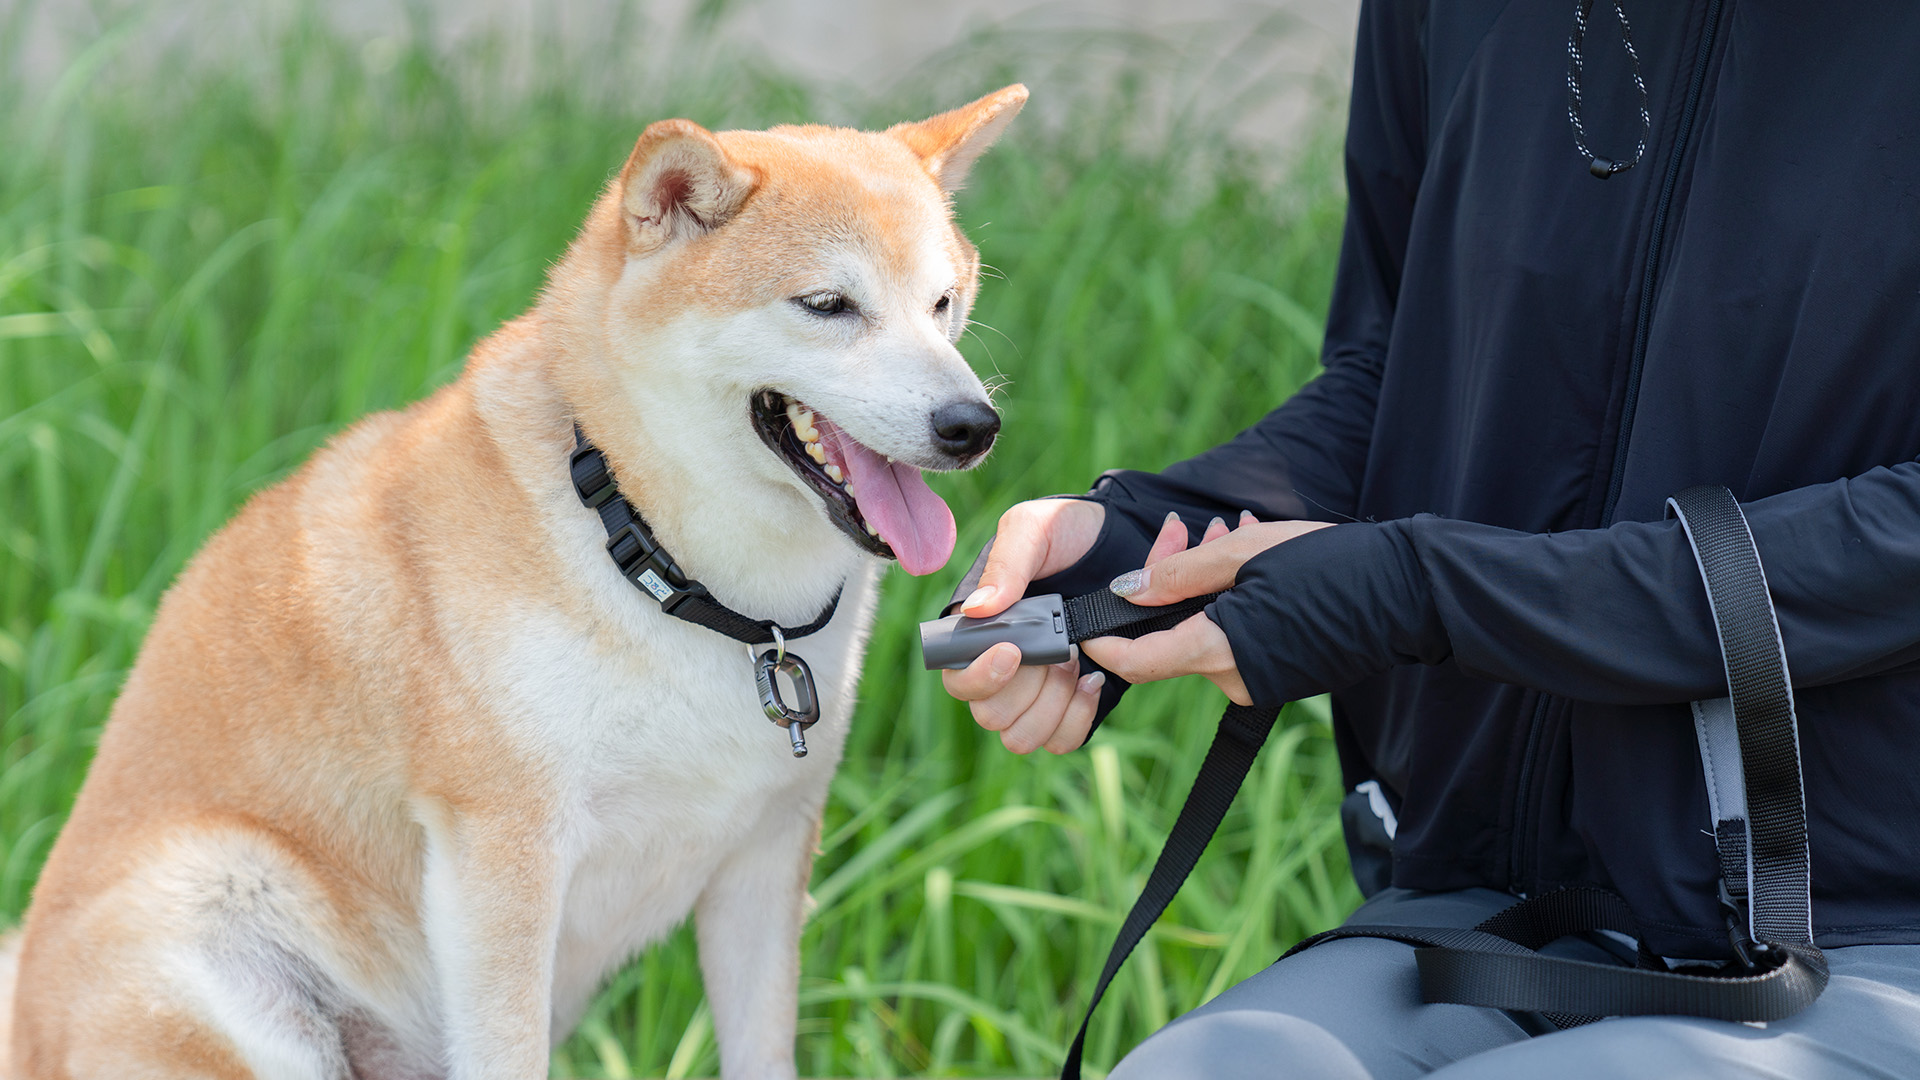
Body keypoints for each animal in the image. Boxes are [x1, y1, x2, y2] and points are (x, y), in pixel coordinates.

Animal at [7, 84, 1029, 1076]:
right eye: (826, 305)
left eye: (943, 303)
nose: (971, 425)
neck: (668, 571)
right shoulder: (504, 857)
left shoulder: (767, 856)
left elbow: (763, 1050)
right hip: (224, 937)